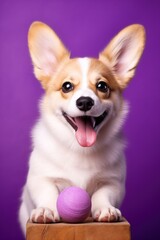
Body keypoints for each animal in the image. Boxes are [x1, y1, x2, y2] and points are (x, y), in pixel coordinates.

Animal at [18, 21, 145, 233]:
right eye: (67, 86)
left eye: (102, 86)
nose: (85, 102)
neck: (80, 149)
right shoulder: (40, 179)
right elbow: (48, 192)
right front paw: (46, 209)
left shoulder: (113, 183)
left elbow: (102, 194)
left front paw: (105, 209)